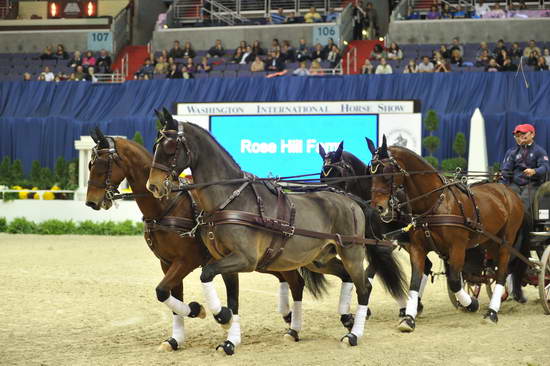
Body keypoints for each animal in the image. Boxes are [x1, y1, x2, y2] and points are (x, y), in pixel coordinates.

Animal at [85, 129, 320, 354]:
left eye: (103, 164)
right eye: (89, 164)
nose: (91, 202)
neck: (167, 206)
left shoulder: (186, 261)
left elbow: (162, 291)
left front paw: (202, 311)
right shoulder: (167, 263)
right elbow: (170, 295)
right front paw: (175, 339)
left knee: (296, 282)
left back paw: (293, 328)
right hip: (265, 260)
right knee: (288, 280)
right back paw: (288, 317)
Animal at [149, 111, 408, 352]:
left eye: (170, 148)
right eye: (154, 147)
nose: (153, 186)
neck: (230, 201)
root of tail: (351, 200)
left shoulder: (245, 259)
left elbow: (206, 275)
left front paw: (218, 315)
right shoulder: (224, 260)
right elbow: (232, 299)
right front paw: (229, 339)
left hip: (352, 253)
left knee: (364, 287)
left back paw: (353, 334)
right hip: (319, 259)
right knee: (345, 277)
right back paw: (342, 319)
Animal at [366, 137, 532, 332]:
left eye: (387, 172)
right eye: (369, 172)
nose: (378, 208)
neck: (435, 203)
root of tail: (510, 193)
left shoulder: (457, 248)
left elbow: (454, 281)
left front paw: (472, 304)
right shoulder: (417, 248)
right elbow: (415, 280)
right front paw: (408, 318)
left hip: (506, 241)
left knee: (502, 273)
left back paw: (492, 313)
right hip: (489, 240)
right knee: (493, 269)